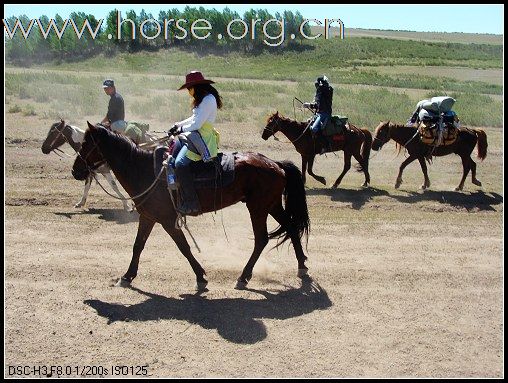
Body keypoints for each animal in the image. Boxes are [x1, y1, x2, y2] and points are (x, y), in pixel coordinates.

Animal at [71, 123, 310, 292]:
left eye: (86, 144)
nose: (75, 171)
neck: (144, 170)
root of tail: (276, 164)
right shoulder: (148, 216)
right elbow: (138, 246)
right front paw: (127, 276)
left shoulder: (167, 220)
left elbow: (183, 247)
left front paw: (201, 277)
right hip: (272, 205)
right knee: (290, 227)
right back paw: (302, 267)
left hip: (258, 207)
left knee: (261, 239)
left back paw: (243, 277)